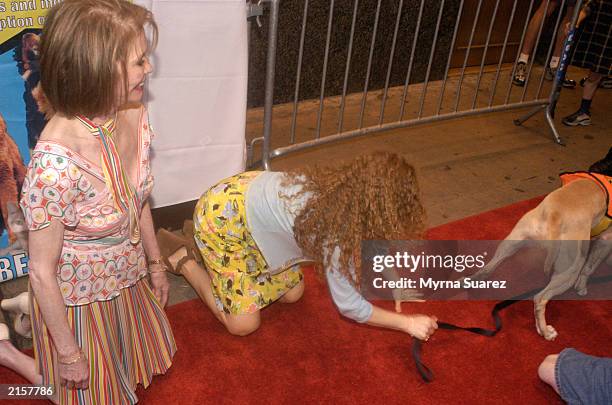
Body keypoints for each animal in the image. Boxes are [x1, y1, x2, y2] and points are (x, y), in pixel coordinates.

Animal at [466, 148, 608, 338]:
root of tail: (555, 215)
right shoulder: (606, 241)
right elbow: (590, 267)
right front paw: (583, 287)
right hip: (570, 269)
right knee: (540, 298)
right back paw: (546, 331)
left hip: (511, 243)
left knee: (487, 269)